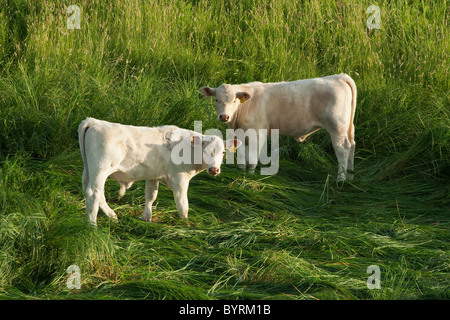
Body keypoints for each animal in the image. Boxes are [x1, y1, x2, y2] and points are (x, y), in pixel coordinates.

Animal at [78, 117, 239, 225]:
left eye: (223, 152)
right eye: (205, 150)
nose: (214, 169)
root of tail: (94, 121)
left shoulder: (153, 175)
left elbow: (151, 195)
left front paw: (146, 218)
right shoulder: (180, 180)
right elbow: (182, 204)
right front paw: (185, 224)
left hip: (89, 170)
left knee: (97, 193)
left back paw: (112, 215)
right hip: (100, 169)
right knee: (93, 194)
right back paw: (92, 225)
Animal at [199, 73, 356, 181]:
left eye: (234, 101)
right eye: (216, 99)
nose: (224, 116)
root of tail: (339, 77)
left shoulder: (257, 133)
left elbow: (252, 159)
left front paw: (249, 175)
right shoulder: (241, 134)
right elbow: (243, 157)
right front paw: (240, 171)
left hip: (337, 126)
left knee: (342, 149)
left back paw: (340, 178)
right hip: (348, 127)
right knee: (352, 146)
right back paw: (350, 175)